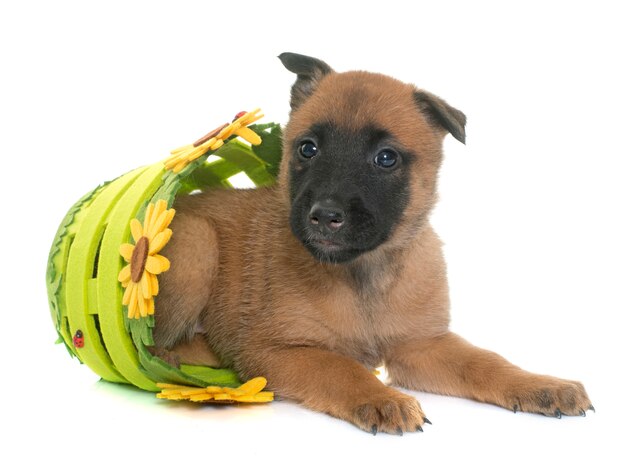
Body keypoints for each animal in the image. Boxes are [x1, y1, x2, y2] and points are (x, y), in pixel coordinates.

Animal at [152, 52, 588, 434]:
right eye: (307, 148)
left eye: (386, 158)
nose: (325, 216)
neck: (363, 275)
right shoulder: (276, 350)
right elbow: (341, 368)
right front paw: (383, 399)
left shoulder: (422, 345)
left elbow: (485, 361)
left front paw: (541, 384)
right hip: (198, 245)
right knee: (159, 346)